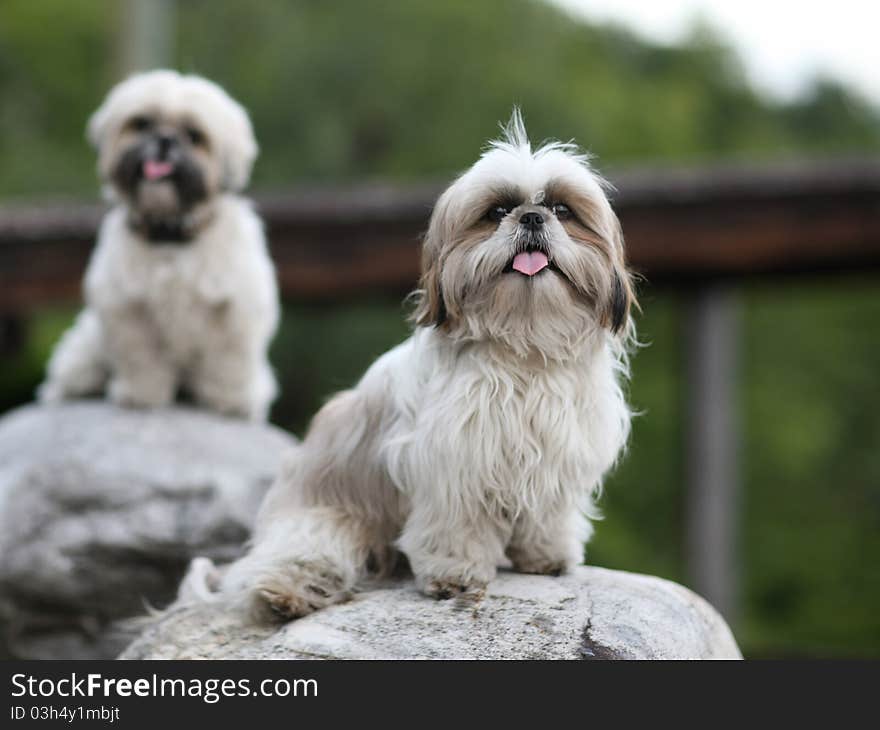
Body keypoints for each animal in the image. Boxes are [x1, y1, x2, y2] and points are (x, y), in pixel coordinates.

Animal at [37, 72, 276, 420]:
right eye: (141, 123)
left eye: (194, 136)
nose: (165, 139)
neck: (169, 233)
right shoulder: (128, 312)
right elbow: (141, 359)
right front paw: (141, 395)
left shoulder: (234, 312)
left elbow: (227, 361)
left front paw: (230, 401)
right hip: (83, 352)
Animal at [216, 109, 636, 620]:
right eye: (496, 212)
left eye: (562, 210)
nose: (532, 216)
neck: (523, 347)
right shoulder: (454, 461)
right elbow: (456, 524)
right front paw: (455, 573)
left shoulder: (559, 451)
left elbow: (546, 514)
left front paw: (545, 555)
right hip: (323, 521)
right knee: (297, 557)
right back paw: (284, 594)